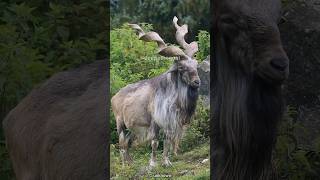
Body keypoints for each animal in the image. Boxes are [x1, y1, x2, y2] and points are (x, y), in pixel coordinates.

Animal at [111, 16, 199, 167]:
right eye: (182, 68)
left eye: (196, 65)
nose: (197, 82)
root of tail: (115, 97)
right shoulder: (154, 122)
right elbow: (155, 142)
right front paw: (152, 164)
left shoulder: (170, 123)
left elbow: (167, 142)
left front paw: (167, 162)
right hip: (120, 124)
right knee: (122, 144)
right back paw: (124, 166)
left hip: (132, 127)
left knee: (127, 144)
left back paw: (130, 163)